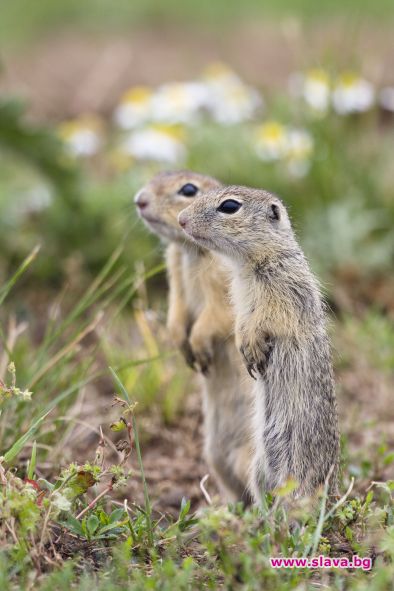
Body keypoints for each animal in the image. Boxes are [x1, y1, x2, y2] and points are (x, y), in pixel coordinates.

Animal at [134, 172, 254, 504]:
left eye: (188, 189)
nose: (139, 200)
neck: (190, 251)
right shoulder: (176, 277)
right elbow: (176, 315)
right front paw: (183, 348)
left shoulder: (223, 288)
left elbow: (216, 318)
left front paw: (199, 349)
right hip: (214, 456)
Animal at [178, 187, 338, 502]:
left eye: (229, 206)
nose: (181, 219)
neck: (247, 264)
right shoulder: (239, 303)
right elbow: (240, 324)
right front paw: (245, 348)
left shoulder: (284, 291)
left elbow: (267, 319)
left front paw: (252, 345)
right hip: (259, 470)